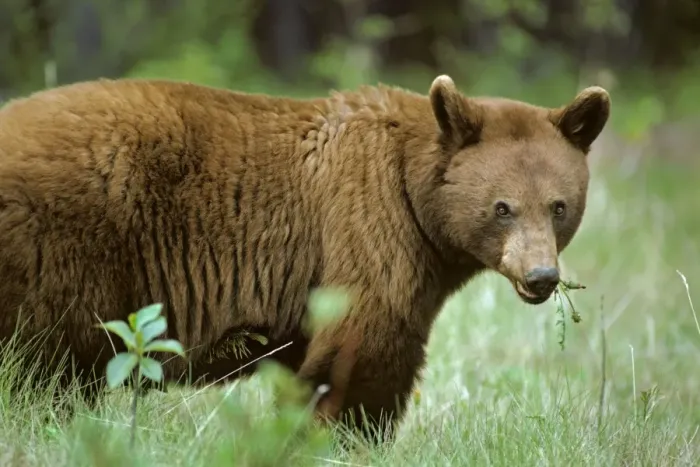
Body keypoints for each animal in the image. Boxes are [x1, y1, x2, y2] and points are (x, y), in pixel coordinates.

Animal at [0, 74, 610, 442]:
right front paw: (342, 436)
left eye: (558, 206)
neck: (413, 190)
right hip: (58, 253)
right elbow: (362, 350)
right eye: (502, 208)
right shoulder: (366, 226)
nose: (541, 276)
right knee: (41, 366)